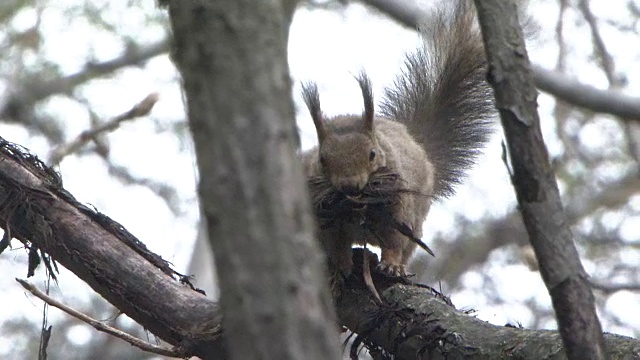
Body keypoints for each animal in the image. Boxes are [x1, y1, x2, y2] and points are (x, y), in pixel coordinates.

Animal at [302, 2, 496, 278]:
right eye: (322, 160)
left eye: (372, 154)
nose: (350, 187)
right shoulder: (327, 216)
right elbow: (337, 245)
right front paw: (341, 266)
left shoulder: (399, 208)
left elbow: (394, 241)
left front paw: (391, 265)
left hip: (416, 219)